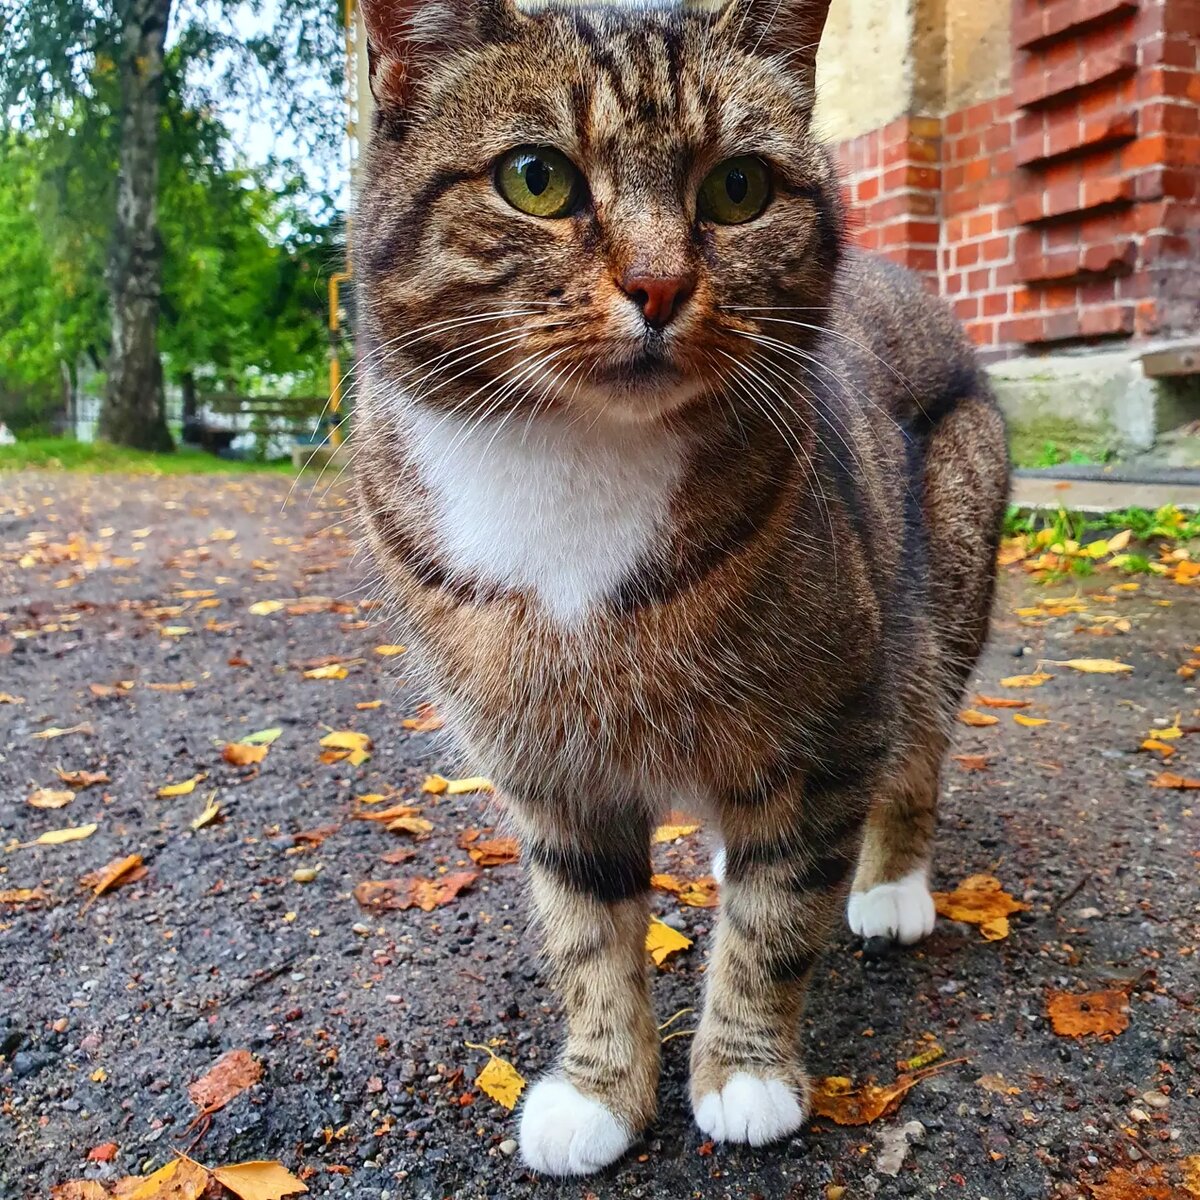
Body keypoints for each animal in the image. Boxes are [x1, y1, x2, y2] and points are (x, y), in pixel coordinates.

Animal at [350, 0, 1008, 1180]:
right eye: (536, 179)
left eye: (738, 188)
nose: (658, 286)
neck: (575, 466)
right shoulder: (551, 772)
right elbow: (588, 936)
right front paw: (601, 1091)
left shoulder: (835, 718)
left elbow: (775, 919)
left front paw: (744, 1072)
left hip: (936, 597)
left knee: (919, 748)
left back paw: (890, 885)